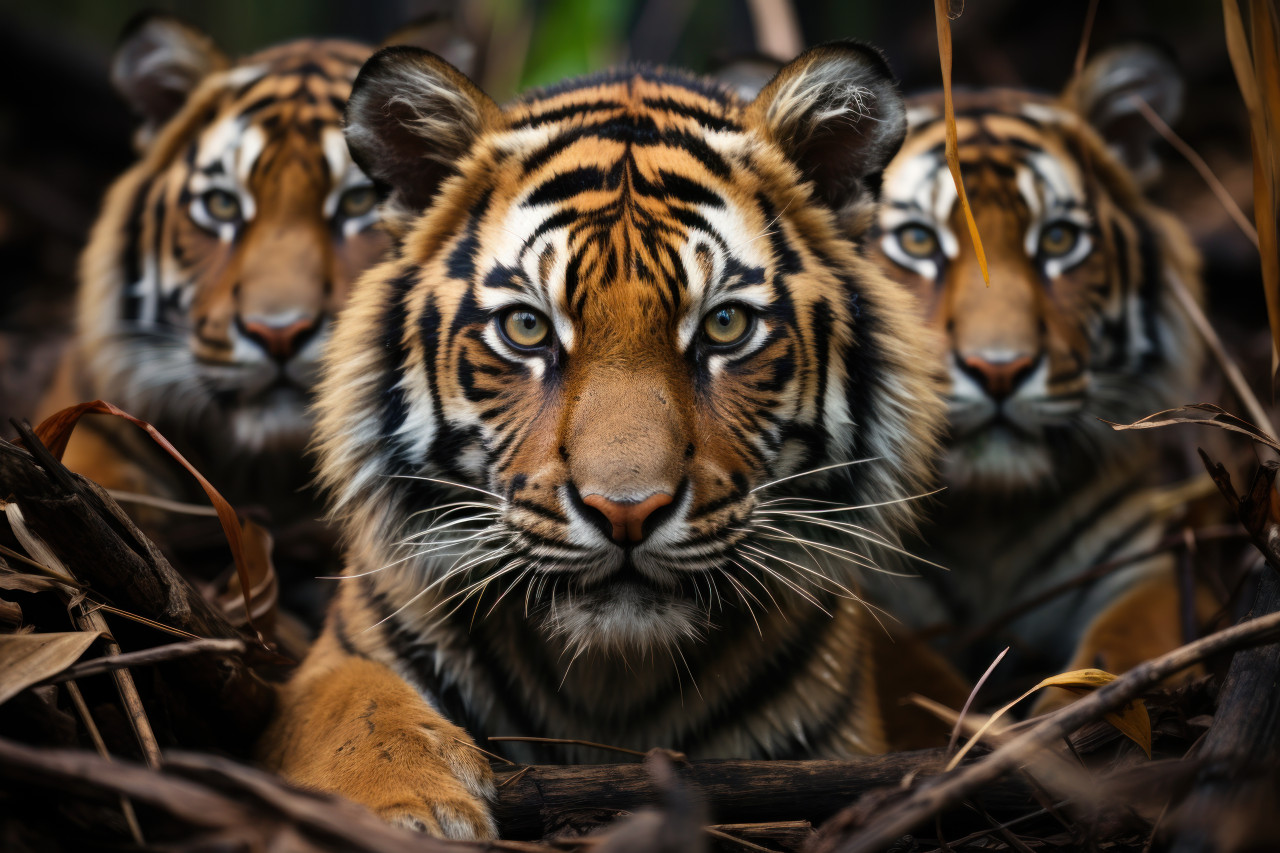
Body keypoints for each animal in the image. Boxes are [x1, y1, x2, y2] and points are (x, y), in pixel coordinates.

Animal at [258, 41, 961, 838]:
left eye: (725, 325)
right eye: (526, 327)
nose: (627, 511)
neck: (611, 678)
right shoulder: (334, 661)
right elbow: (352, 702)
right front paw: (404, 807)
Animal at [865, 44, 1218, 693]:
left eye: (1057, 240)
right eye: (918, 242)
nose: (999, 369)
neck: (984, 525)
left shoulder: (1144, 567)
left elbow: (1122, 655)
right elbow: (912, 686)